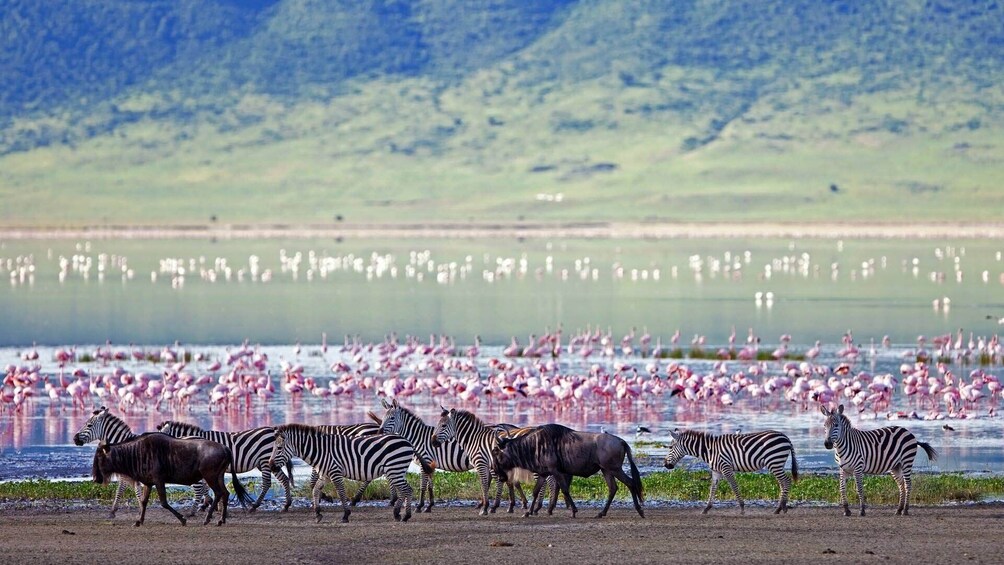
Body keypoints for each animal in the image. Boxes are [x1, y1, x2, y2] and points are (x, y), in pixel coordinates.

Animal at [73, 405, 209, 517]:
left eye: (89, 425)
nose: (74, 439)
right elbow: (128, 490)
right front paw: (120, 510)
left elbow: (127, 490)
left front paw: (133, 509)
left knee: (199, 488)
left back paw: (193, 512)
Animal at [154, 419, 293, 513]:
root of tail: (273, 430)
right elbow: (206, 486)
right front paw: (209, 504)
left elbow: (204, 486)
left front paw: (208, 504)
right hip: (269, 463)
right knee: (284, 479)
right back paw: (286, 504)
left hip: (265, 461)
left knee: (267, 483)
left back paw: (255, 506)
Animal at [267, 421, 427, 525]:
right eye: (273, 447)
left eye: (279, 448)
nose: (271, 466)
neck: (321, 450)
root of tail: (407, 441)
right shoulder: (325, 474)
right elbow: (315, 490)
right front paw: (318, 513)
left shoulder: (335, 472)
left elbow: (341, 492)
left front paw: (345, 515)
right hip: (395, 470)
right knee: (404, 490)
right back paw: (397, 513)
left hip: (395, 469)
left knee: (407, 490)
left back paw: (406, 516)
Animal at [666, 427, 799, 513]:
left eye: (670, 447)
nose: (665, 465)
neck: (709, 450)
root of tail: (785, 437)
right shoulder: (716, 471)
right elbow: (713, 488)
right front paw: (706, 508)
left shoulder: (726, 468)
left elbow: (734, 486)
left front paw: (742, 508)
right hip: (776, 463)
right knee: (782, 482)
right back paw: (781, 507)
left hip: (774, 462)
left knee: (786, 481)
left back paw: (780, 508)